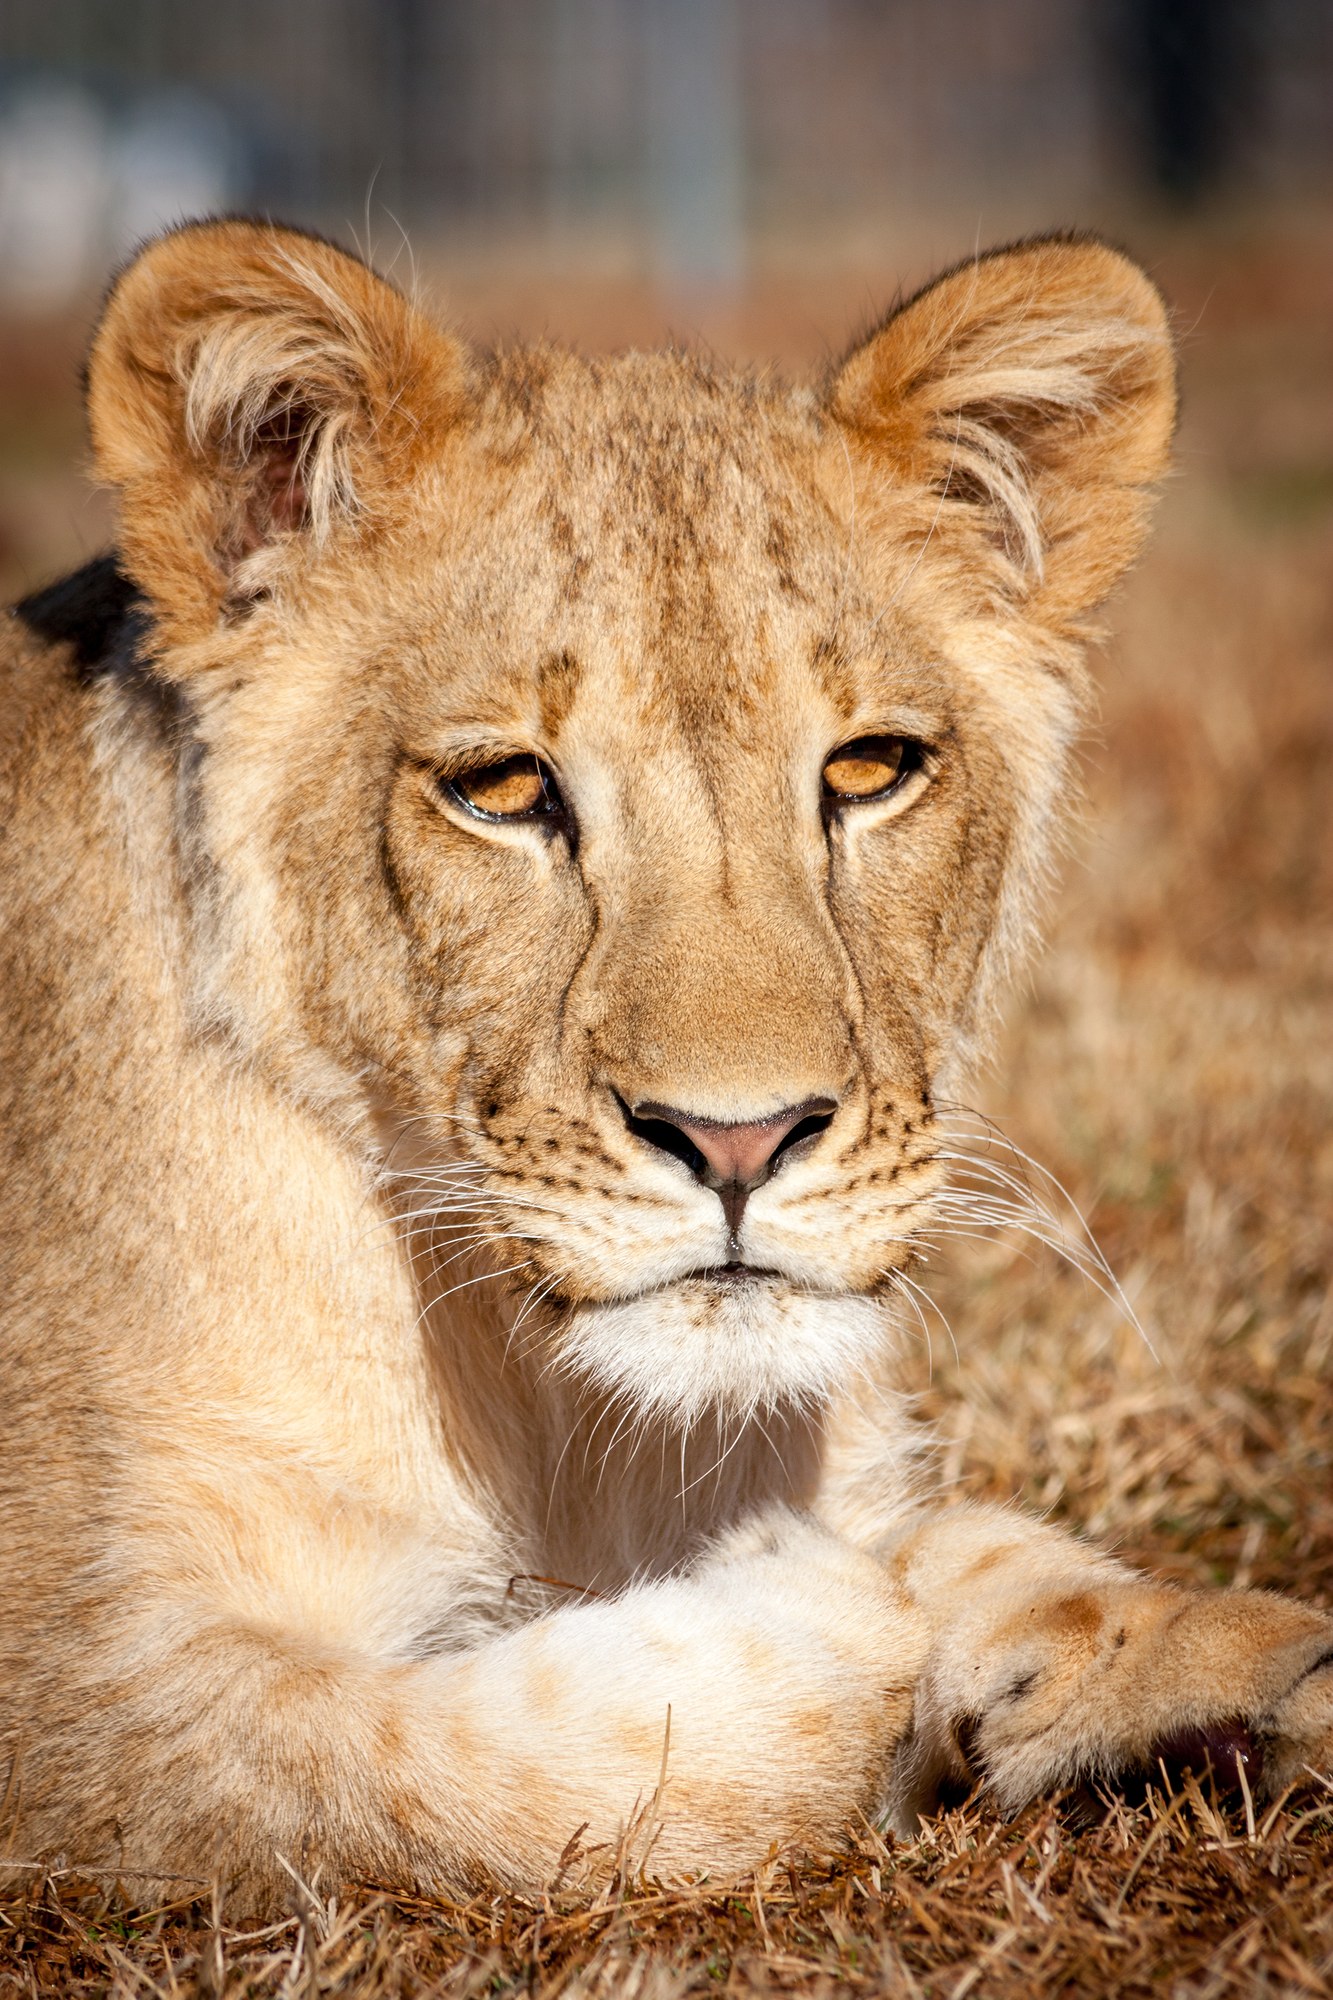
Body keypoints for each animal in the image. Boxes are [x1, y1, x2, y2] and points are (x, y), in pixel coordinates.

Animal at [1, 219, 1330, 1912]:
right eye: (502, 790)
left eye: (870, 770)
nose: (742, 1143)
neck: (553, 1413)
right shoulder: (79, 1690)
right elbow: (474, 1763)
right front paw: (818, 1603)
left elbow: (995, 1552)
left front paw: (1204, 1662)